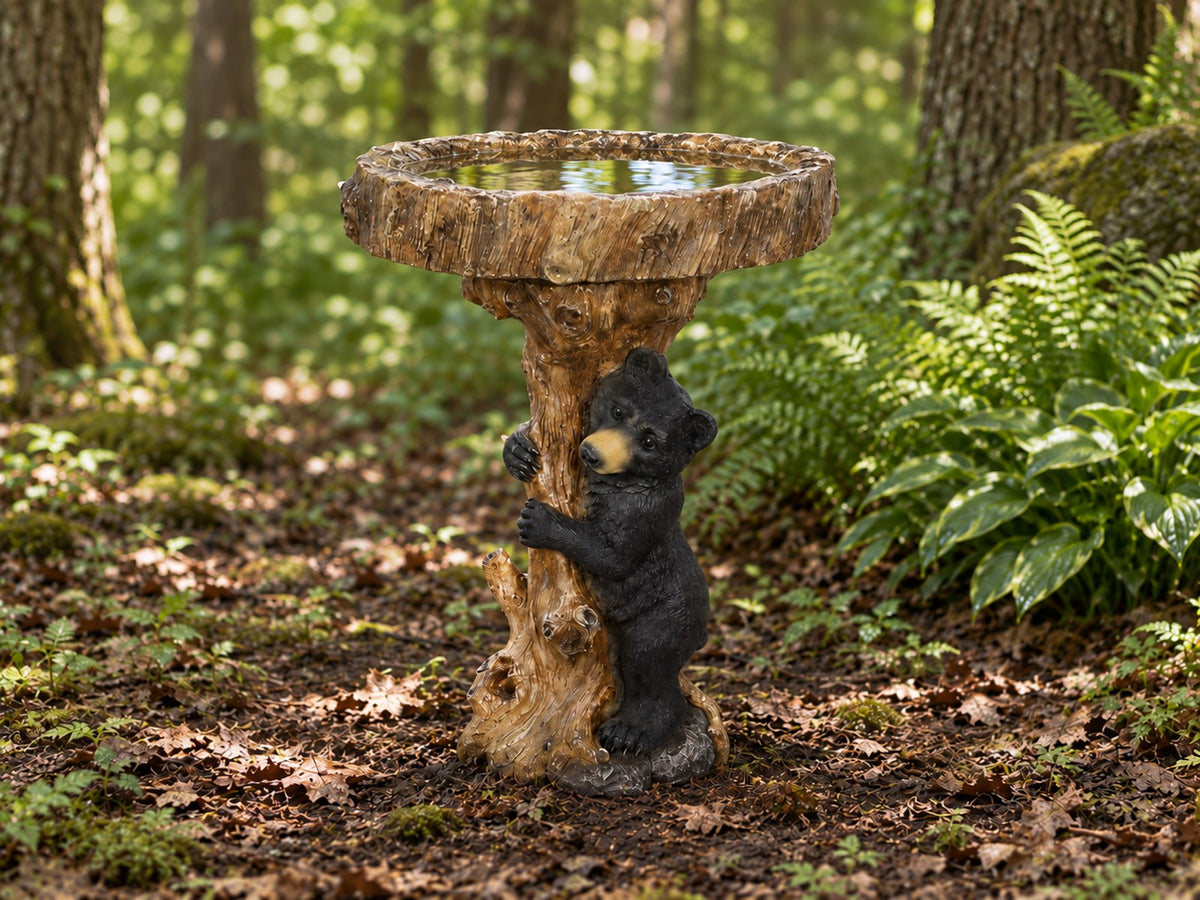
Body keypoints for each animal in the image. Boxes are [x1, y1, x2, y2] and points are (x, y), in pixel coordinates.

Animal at [503, 346, 718, 758]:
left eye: (649, 441)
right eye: (618, 410)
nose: (592, 452)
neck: (619, 480)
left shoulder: (647, 509)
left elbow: (613, 554)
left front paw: (538, 521)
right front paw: (519, 450)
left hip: (670, 611)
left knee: (650, 660)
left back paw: (629, 733)